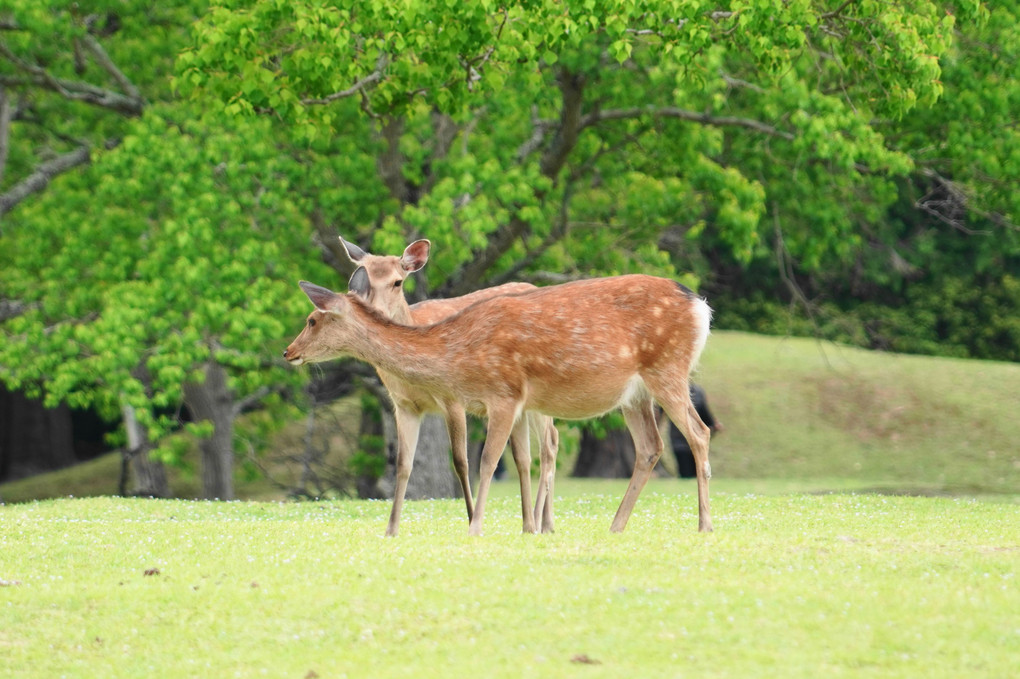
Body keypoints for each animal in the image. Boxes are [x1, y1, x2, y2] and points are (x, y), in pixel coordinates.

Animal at [283, 271, 714, 534]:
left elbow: (488, 460)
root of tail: (700, 305)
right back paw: (615, 525)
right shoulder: (508, 403)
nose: (288, 352)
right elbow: (513, 460)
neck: (460, 353)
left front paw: (476, 527)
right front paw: (523, 528)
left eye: (312, 319)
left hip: (668, 368)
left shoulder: (504, 393)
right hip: (635, 394)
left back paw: (704, 524)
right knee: (650, 447)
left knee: (699, 432)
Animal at [336, 235, 558, 538]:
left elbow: (461, 462)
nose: (374, 314)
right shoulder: (401, 404)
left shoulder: (452, 400)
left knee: (549, 445)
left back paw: (540, 521)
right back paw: (542, 523)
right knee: (532, 451)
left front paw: (471, 517)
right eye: (359, 278)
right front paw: (391, 528)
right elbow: (404, 464)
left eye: (398, 282)